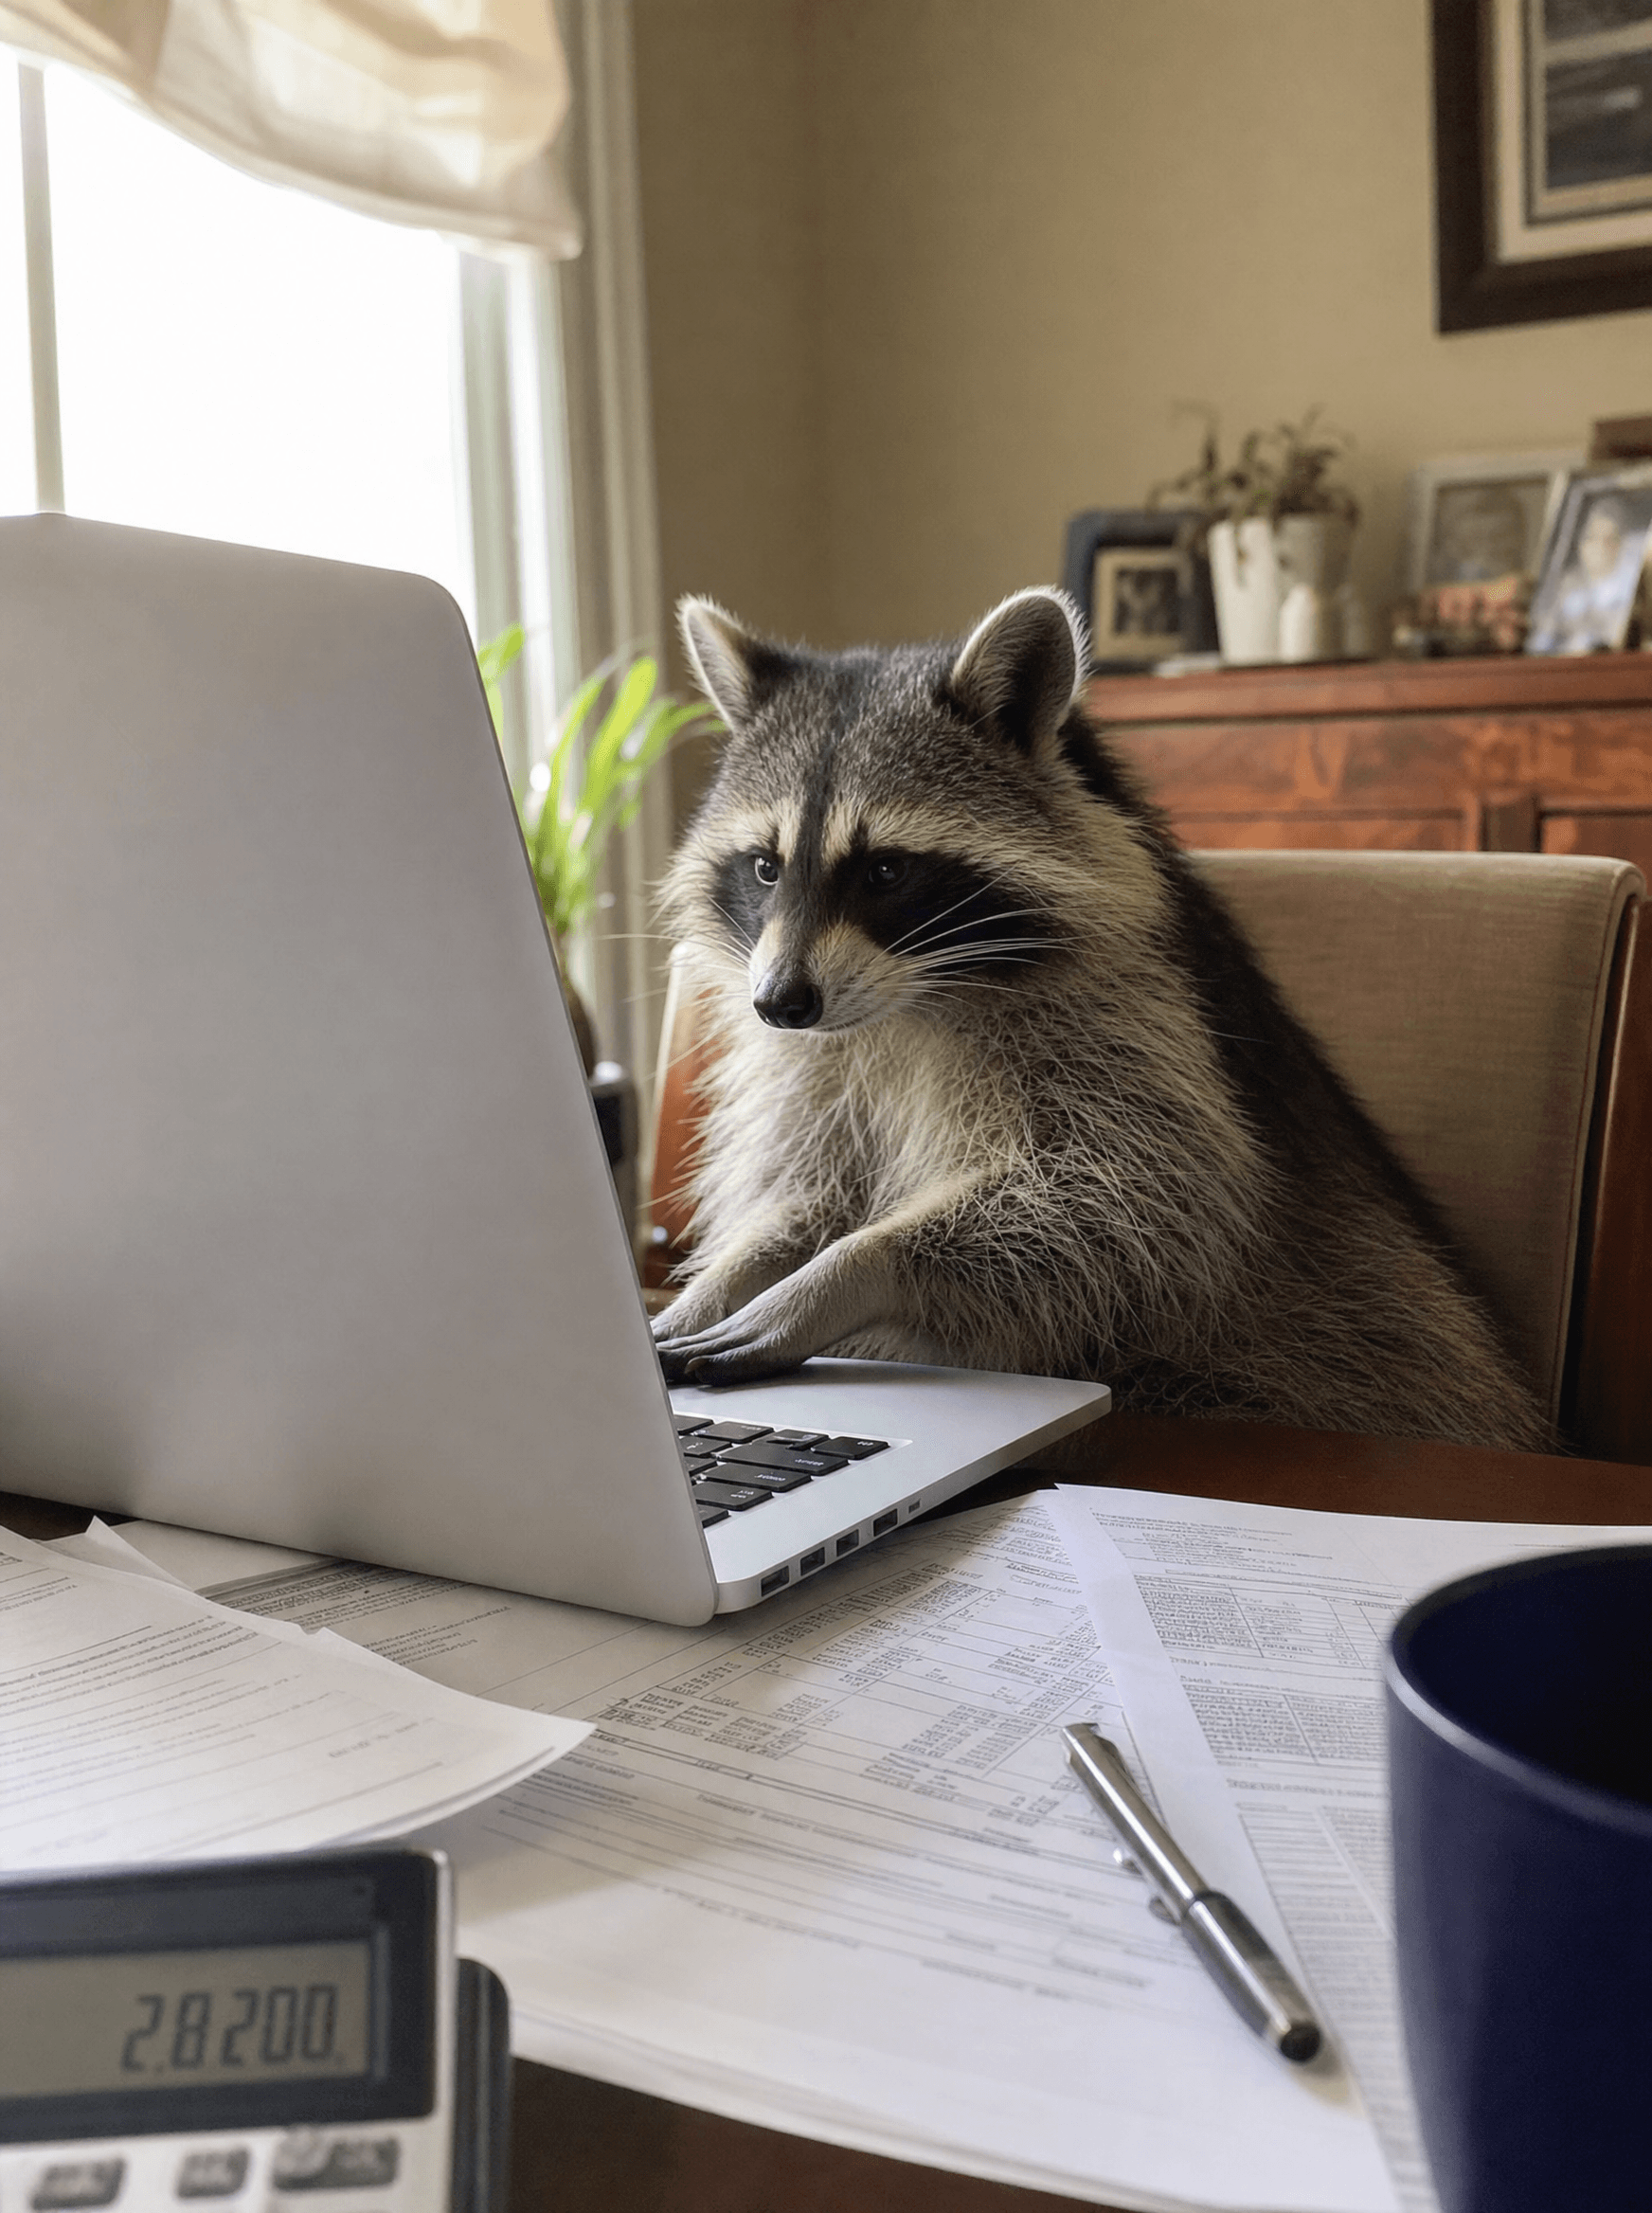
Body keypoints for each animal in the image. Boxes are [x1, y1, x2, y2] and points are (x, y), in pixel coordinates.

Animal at [651, 587, 1549, 1453]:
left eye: (885, 871)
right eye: (765, 868)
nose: (779, 1003)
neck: (909, 997)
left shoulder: (1135, 1019)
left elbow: (1127, 1197)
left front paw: (843, 1273)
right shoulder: (815, 1061)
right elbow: (805, 1191)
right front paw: (722, 1279)